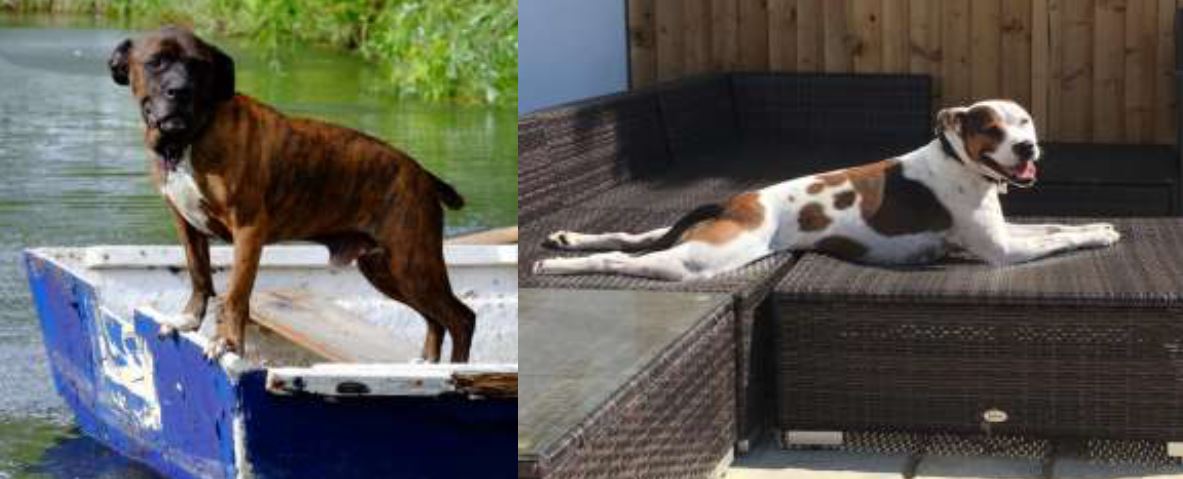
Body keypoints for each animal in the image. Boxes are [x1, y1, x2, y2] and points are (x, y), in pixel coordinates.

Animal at [107, 26, 475, 359]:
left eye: (198, 65)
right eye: (156, 62)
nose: (179, 90)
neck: (189, 139)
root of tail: (423, 174)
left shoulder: (248, 230)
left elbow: (236, 294)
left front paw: (228, 342)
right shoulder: (187, 225)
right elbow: (200, 276)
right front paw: (189, 319)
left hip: (413, 264)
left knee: (461, 318)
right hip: (387, 268)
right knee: (435, 320)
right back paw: (427, 364)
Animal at [532, 100, 1121, 280]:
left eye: (1024, 122)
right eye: (991, 129)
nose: (1027, 149)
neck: (959, 161)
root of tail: (736, 199)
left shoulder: (1004, 231)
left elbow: (1054, 225)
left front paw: (1100, 222)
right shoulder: (1002, 252)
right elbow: (1060, 238)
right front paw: (1100, 235)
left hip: (699, 236)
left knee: (636, 235)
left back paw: (567, 239)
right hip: (702, 259)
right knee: (625, 260)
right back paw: (559, 265)